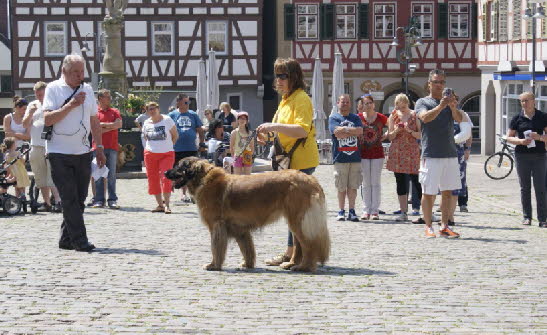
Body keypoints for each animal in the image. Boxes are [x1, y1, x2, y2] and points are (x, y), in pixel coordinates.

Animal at [165, 158, 330, 272]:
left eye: (178, 166)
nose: (165, 172)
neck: (203, 178)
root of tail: (311, 180)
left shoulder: (217, 226)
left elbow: (216, 248)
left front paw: (214, 265)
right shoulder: (240, 229)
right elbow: (247, 248)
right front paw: (247, 264)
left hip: (299, 220)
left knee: (308, 244)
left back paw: (304, 267)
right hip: (296, 220)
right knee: (299, 244)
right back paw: (291, 263)